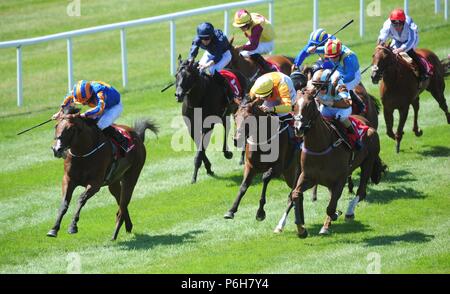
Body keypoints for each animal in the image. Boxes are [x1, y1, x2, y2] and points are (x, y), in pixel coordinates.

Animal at [48, 107, 158, 239]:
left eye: (70, 129)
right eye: (56, 126)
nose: (57, 149)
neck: (82, 154)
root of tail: (137, 136)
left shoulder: (95, 184)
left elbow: (81, 199)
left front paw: (73, 226)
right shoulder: (68, 179)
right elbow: (64, 203)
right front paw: (54, 229)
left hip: (131, 177)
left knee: (123, 205)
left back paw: (114, 234)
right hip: (114, 182)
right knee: (121, 202)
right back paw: (128, 226)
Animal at [276, 88, 384, 238]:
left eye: (310, 106)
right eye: (294, 106)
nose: (298, 128)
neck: (320, 146)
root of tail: (366, 122)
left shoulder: (340, 179)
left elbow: (330, 207)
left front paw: (333, 217)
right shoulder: (308, 177)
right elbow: (295, 195)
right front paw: (301, 229)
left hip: (368, 162)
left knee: (361, 191)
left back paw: (348, 212)